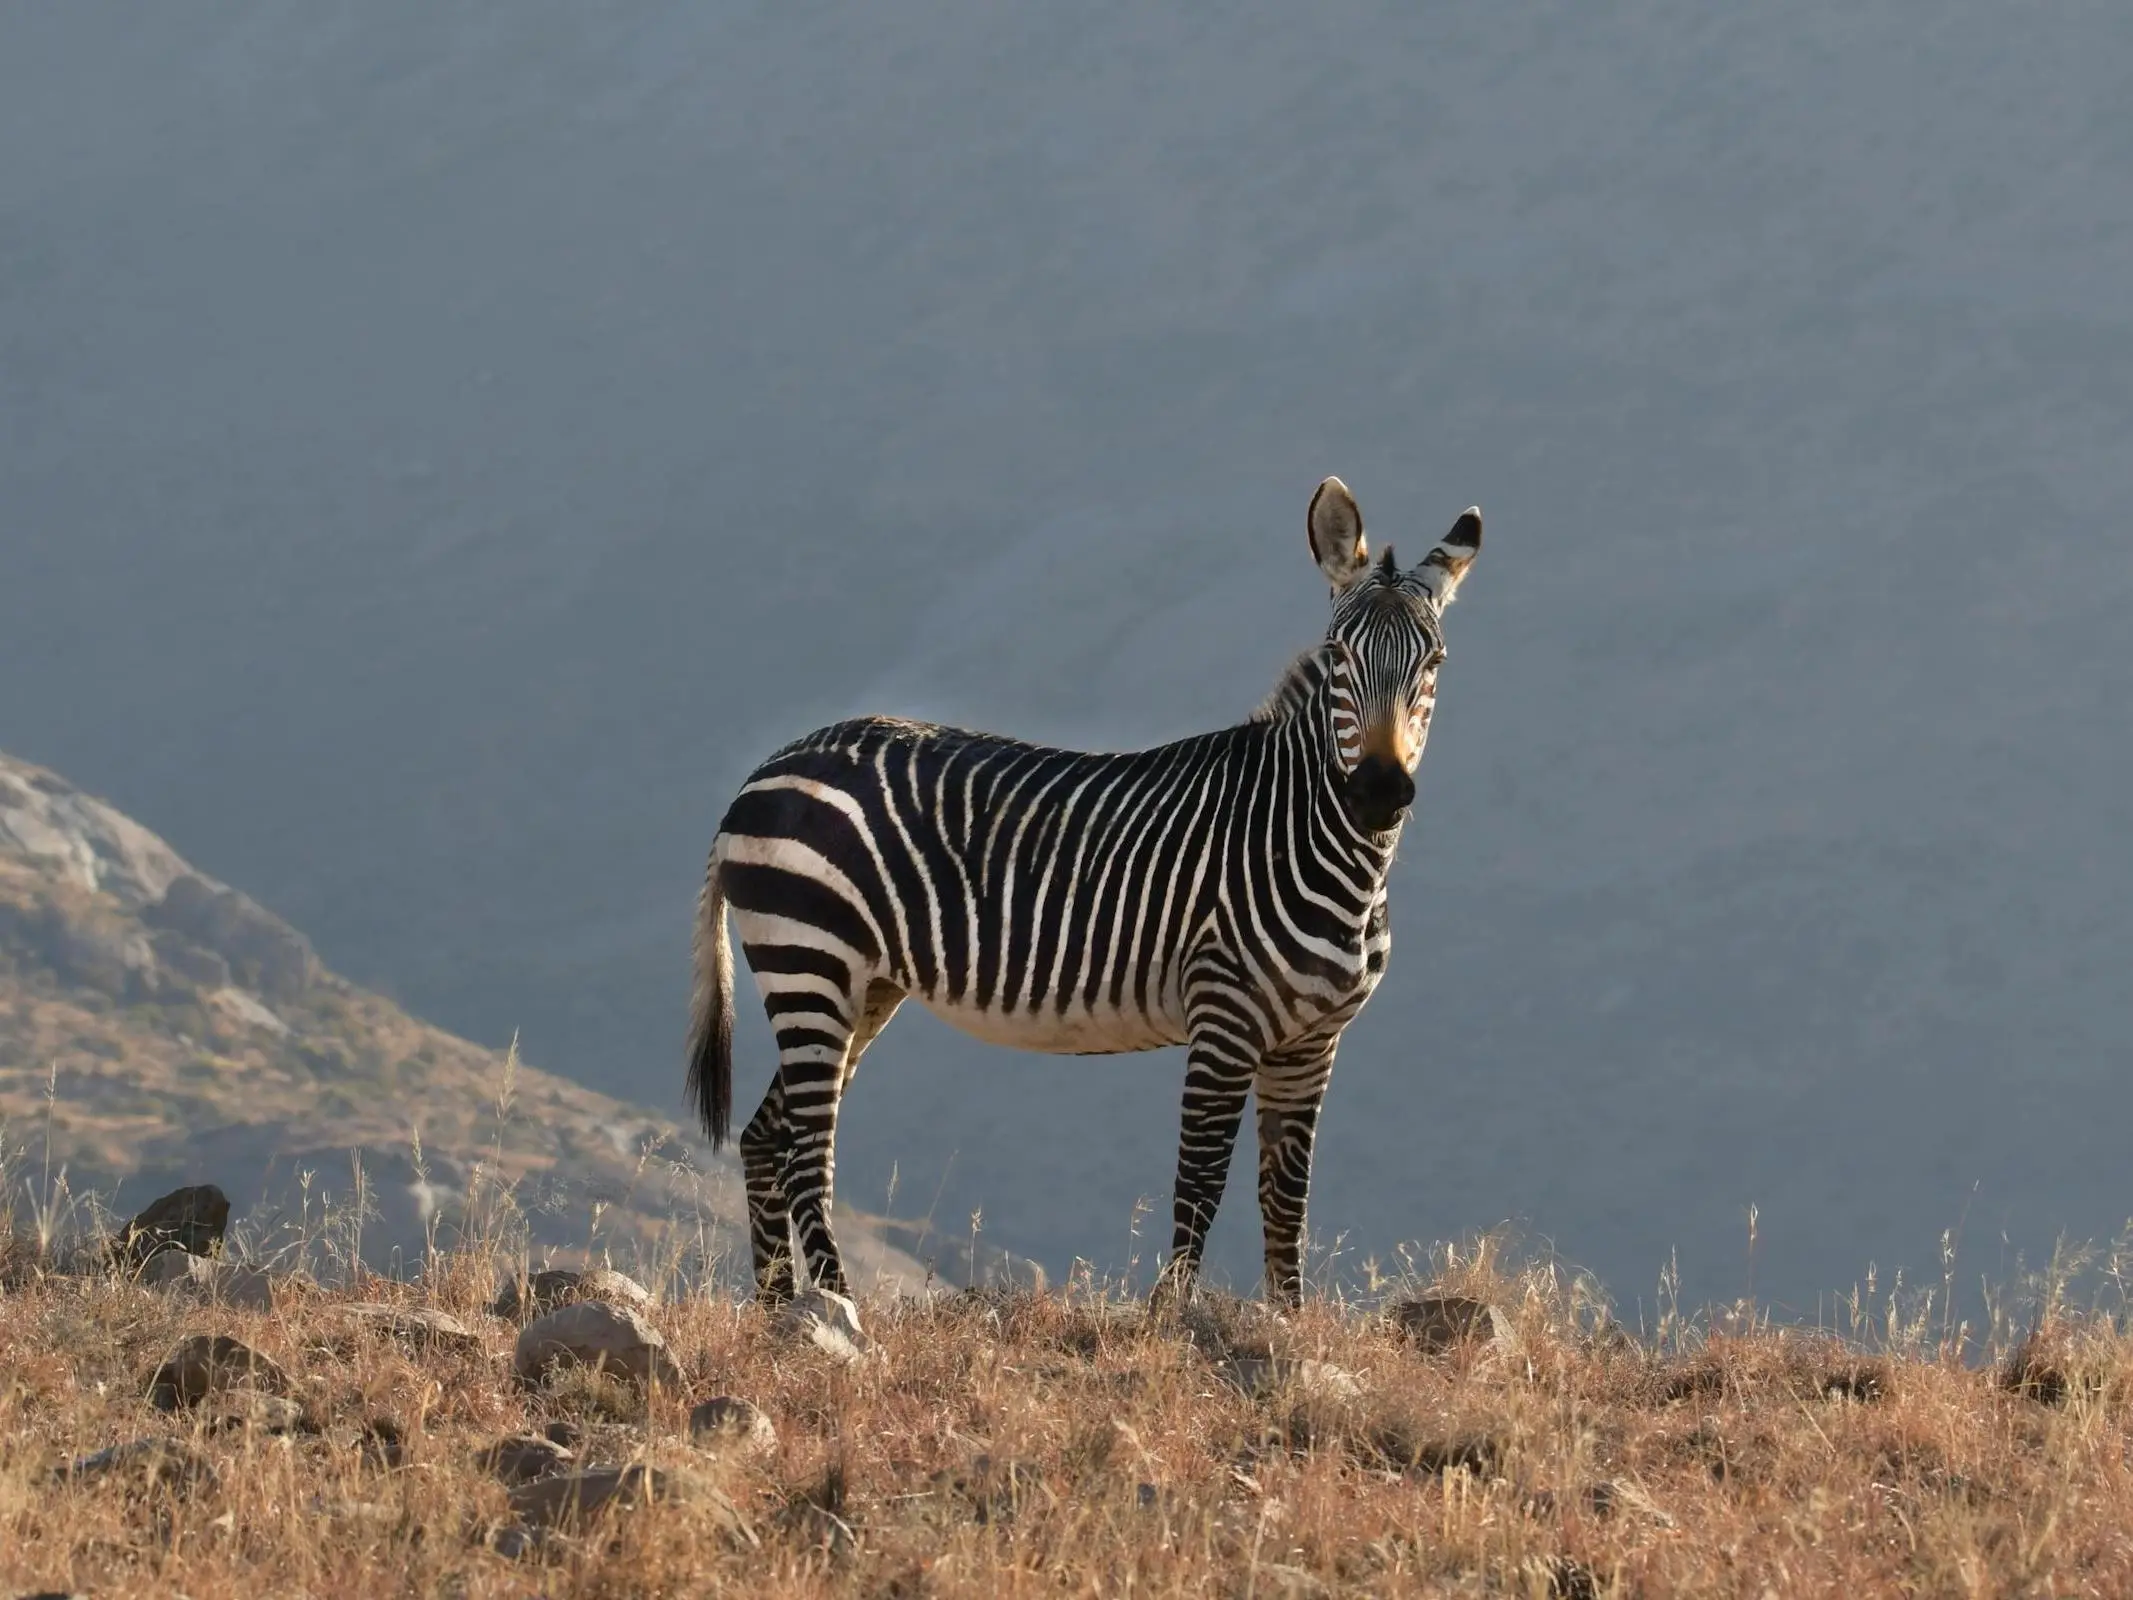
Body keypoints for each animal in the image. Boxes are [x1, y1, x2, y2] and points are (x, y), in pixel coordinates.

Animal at [686, 482, 1484, 1305]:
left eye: (1435, 661)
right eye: (1337, 657)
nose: (1379, 792)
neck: (1317, 846)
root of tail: (761, 773)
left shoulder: (1312, 1043)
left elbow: (1286, 1196)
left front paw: (1288, 1321)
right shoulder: (1223, 1019)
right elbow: (1201, 1181)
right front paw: (1173, 1315)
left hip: (861, 986)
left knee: (767, 1136)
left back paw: (784, 1312)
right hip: (809, 959)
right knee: (807, 1149)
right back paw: (839, 1307)